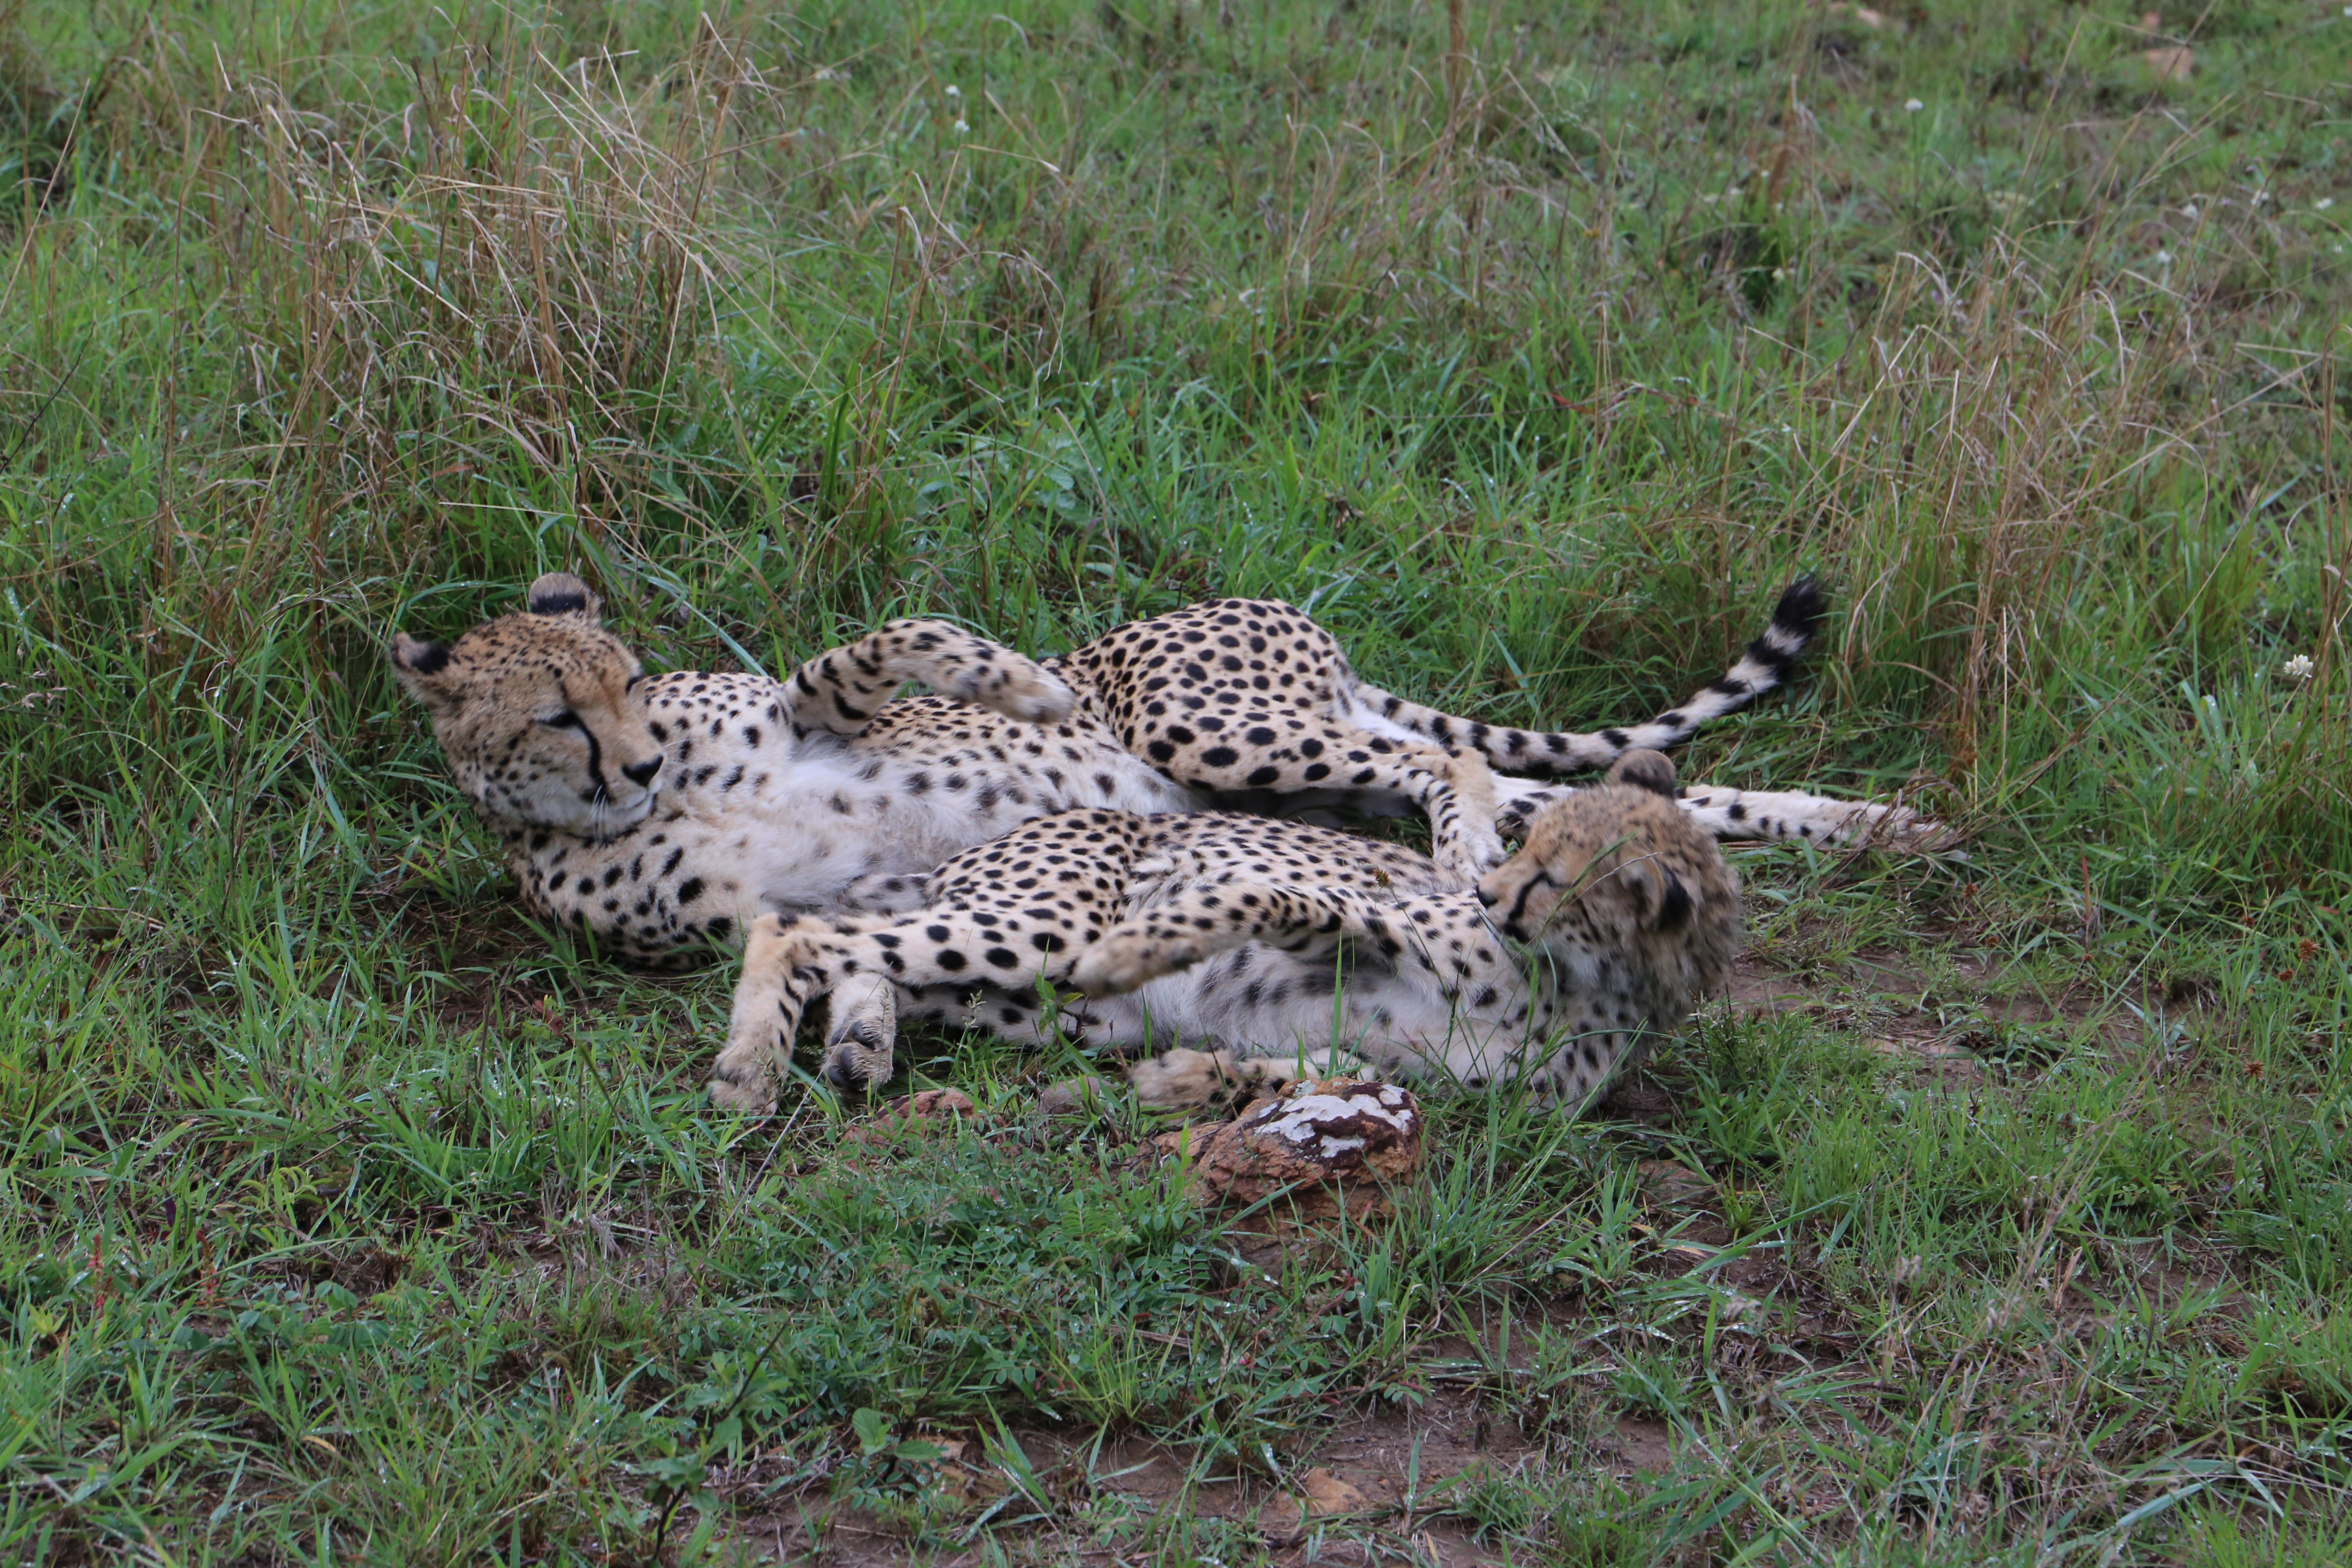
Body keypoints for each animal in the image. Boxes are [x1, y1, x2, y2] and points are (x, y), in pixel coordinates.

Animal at [386, 576, 1919, 968]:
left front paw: (1022, 681)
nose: (639, 753)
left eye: (624, 677)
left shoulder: (809, 712)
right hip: (1297, 773)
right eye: (557, 715)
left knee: (1446, 760)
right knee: (1642, 790)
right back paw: (1881, 825)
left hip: (1218, 728)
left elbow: (883, 644)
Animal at [705, 752, 1740, 1109]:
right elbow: (1258, 901)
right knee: (791, 925)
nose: (1484, 890)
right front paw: (1147, 948)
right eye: (1530, 847)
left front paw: (1182, 1081)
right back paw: (752, 1067)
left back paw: (859, 1043)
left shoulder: (1466, 1091)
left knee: (865, 953)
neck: (1571, 982)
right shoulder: (1348, 922)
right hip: (1041, 932)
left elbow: (1330, 1072)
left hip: (1050, 1009)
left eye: (1557, 878)